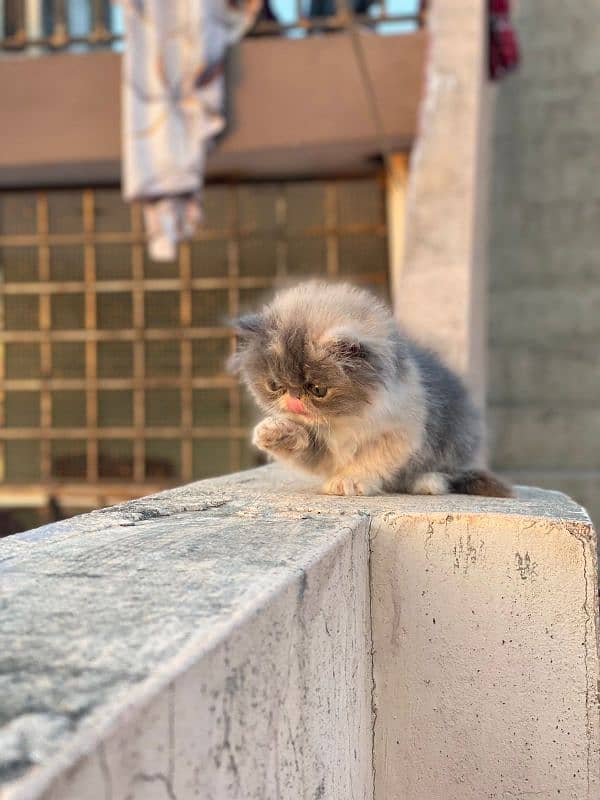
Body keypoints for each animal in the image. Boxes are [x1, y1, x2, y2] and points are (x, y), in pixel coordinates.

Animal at [230, 278, 510, 496]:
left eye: (318, 390)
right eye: (274, 386)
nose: (294, 401)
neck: (347, 420)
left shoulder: (401, 433)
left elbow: (371, 459)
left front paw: (348, 481)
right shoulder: (323, 452)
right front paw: (274, 431)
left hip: (458, 438)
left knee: (448, 471)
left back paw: (427, 482)